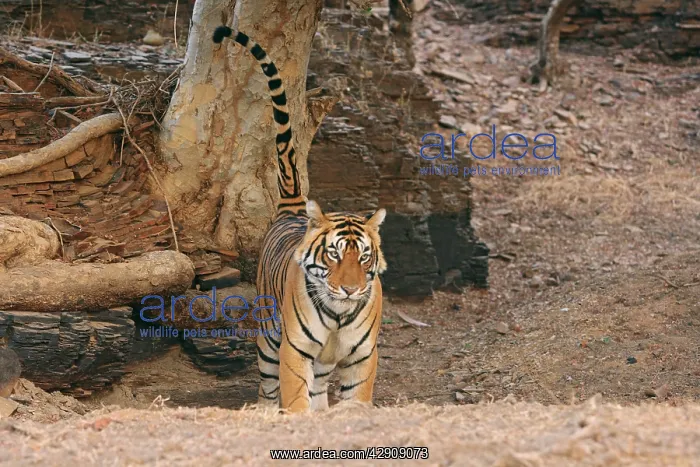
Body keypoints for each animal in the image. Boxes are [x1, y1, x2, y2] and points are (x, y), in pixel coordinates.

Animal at [213, 26, 387, 413]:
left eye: (364, 257)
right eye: (334, 255)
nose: (350, 289)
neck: (339, 313)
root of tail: (293, 210)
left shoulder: (362, 357)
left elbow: (357, 397)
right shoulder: (294, 348)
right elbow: (293, 394)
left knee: (319, 385)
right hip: (268, 336)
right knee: (267, 385)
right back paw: (266, 410)